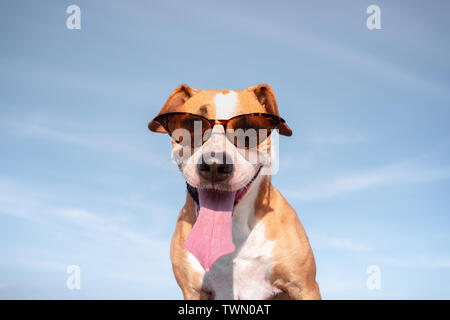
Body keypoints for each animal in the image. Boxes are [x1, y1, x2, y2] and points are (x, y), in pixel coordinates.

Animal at [149, 84, 322, 298]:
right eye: (191, 124)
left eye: (248, 129)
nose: (214, 165)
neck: (233, 227)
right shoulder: (192, 290)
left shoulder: (304, 287)